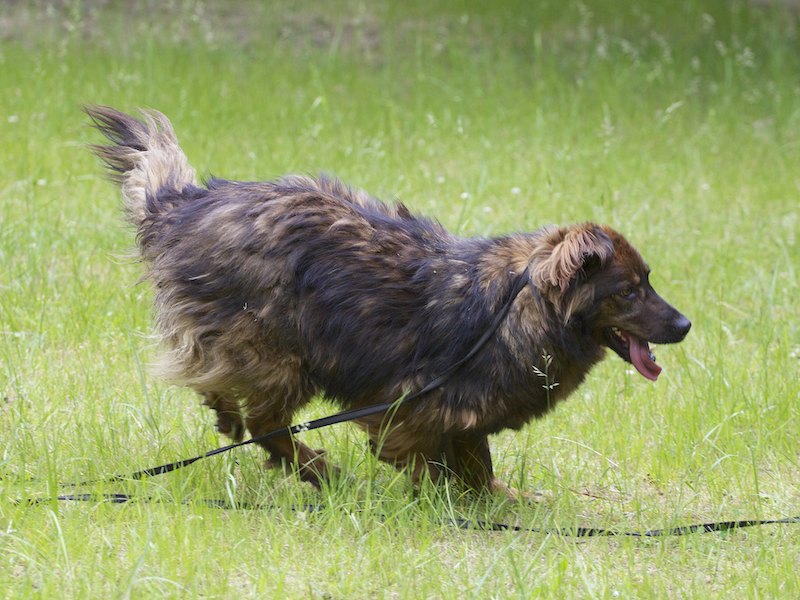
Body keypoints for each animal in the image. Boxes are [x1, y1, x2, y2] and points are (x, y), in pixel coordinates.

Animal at [86, 106, 691, 498]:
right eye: (629, 290)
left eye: (648, 281)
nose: (685, 325)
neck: (518, 303)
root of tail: (182, 204)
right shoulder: (406, 409)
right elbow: (429, 464)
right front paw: (447, 500)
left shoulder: (462, 416)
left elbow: (477, 465)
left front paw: (500, 500)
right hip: (279, 353)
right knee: (267, 424)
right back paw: (319, 471)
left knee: (236, 403)